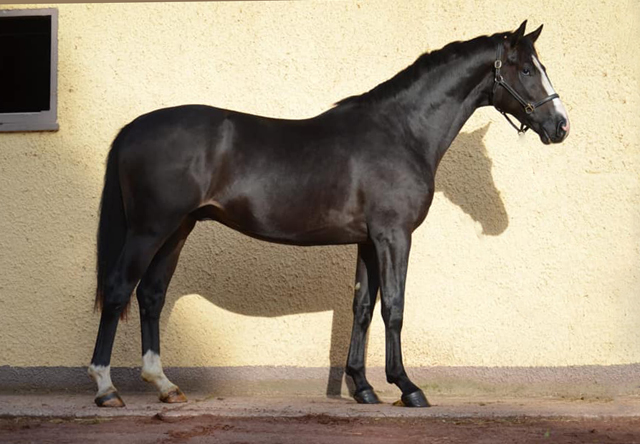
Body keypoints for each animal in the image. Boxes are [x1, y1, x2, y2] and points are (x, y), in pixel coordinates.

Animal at [89, 21, 568, 410]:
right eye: (527, 70)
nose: (561, 125)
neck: (400, 132)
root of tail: (133, 128)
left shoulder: (368, 240)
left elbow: (362, 307)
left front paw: (364, 388)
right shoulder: (394, 236)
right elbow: (394, 306)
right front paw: (407, 387)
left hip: (177, 229)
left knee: (152, 295)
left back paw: (165, 385)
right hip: (149, 229)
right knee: (118, 290)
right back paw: (106, 389)